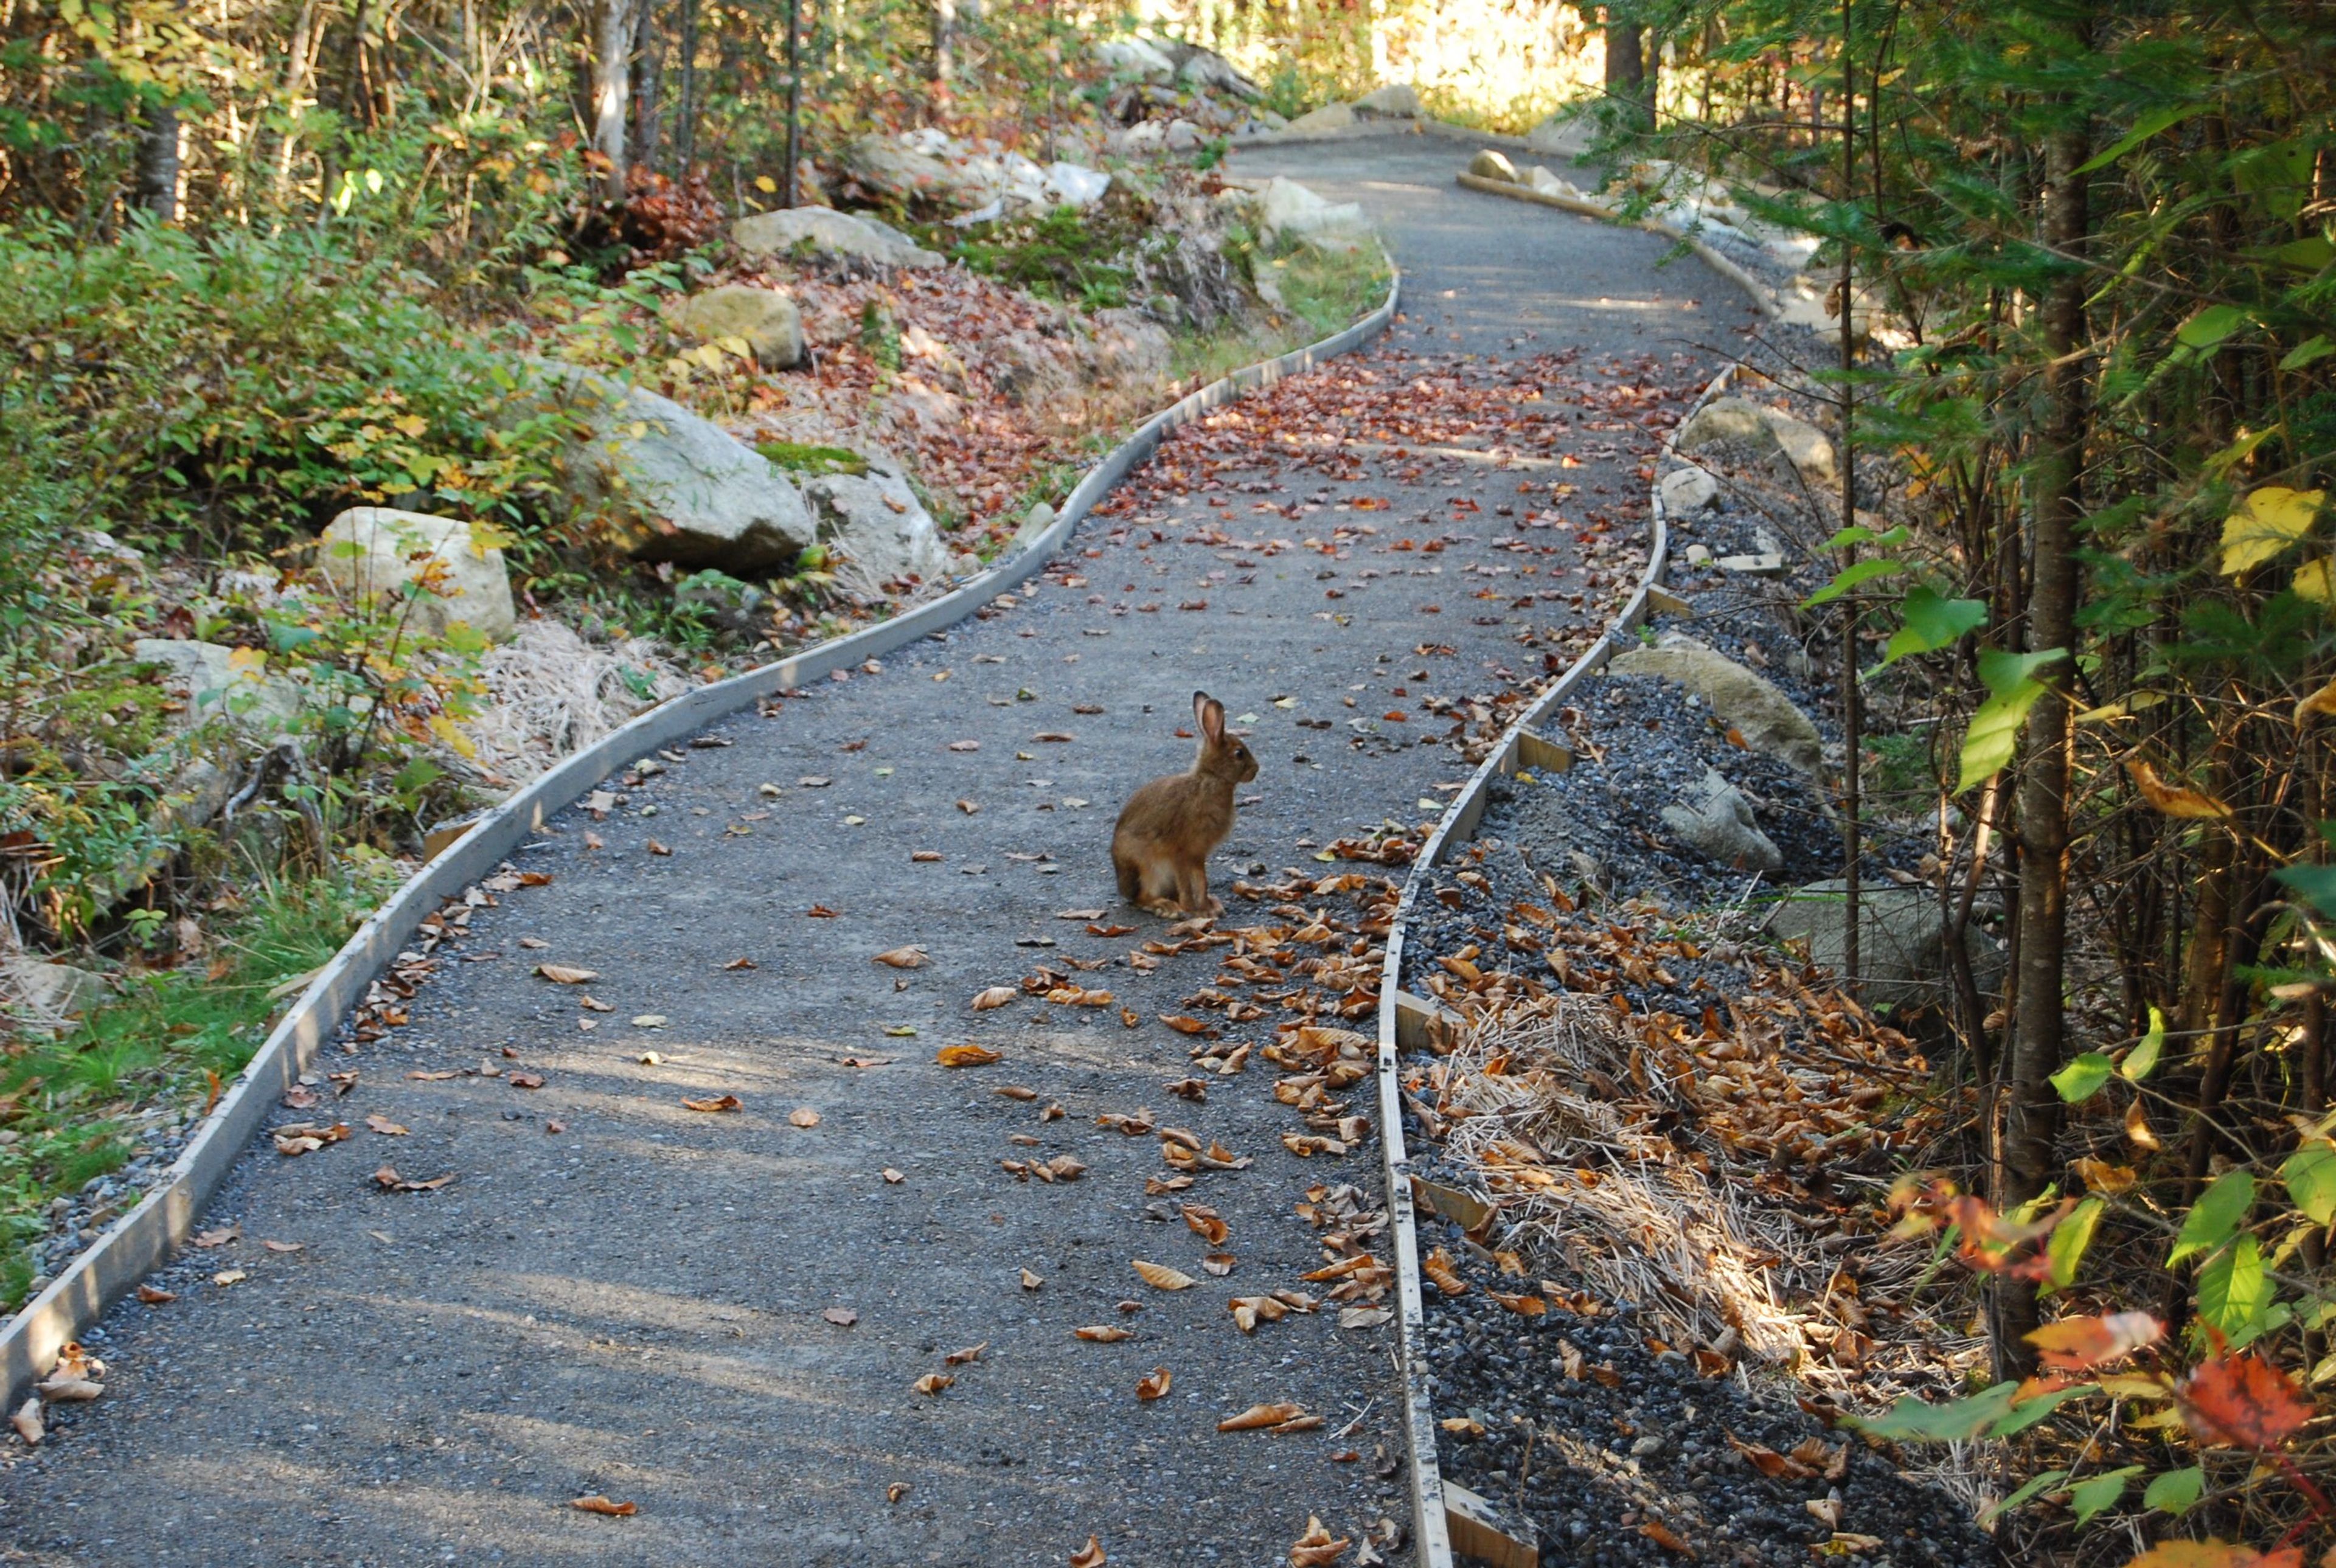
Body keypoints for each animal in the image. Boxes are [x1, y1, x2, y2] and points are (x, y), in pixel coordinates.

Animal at [1111, 692, 1261, 920]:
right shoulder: (1180, 851)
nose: (1256, 769)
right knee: (1142, 897)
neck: (1211, 778)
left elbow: (1202, 881)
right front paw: (1194, 910)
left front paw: (1208, 908)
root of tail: (1123, 886)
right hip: (1149, 867)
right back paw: (1167, 907)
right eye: (1239, 753)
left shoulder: (1198, 854)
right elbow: (1186, 883)